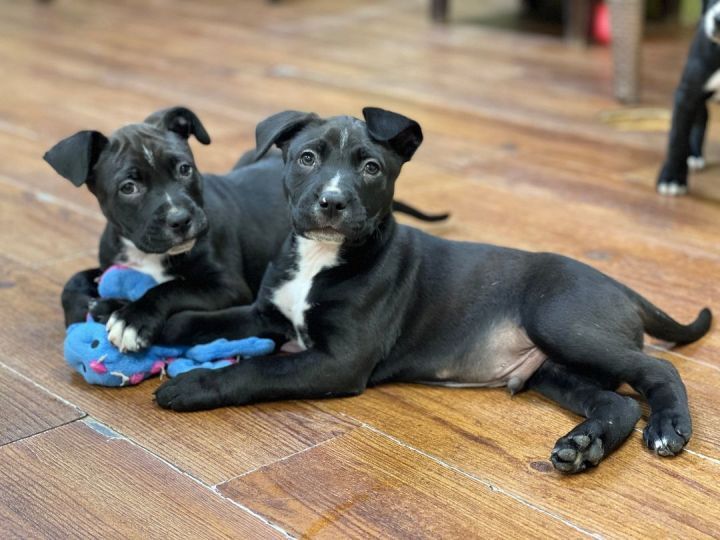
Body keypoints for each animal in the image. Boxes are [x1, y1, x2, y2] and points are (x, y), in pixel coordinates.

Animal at [155, 107, 712, 474]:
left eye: (371, 168)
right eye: (307, 158)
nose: (332, 203)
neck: (322, 258)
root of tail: (621, 287)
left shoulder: (338, 361)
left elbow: (259, 368)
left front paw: (193, 383)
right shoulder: (268, 314)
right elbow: (209, 320)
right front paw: (149, 323)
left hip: (563, 324)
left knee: (658, 370)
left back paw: (668, 428)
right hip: (554, 371)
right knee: (618, 404)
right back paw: (583, 446)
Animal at [660, 0, 720, 194]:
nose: (718, 20)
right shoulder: (687, 95)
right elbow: (677, 139)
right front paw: (672, 178)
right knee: (702, 117)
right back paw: (694, 153)